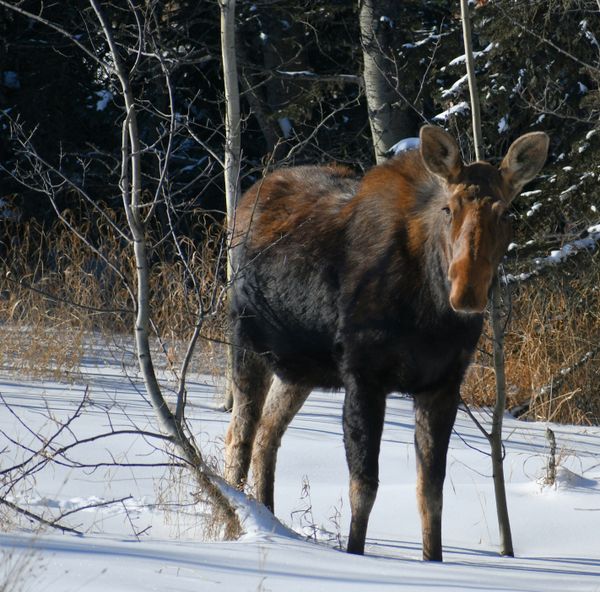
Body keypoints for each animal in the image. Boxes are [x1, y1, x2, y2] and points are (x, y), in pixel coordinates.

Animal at [224, 125, 548, 560]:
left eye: (506, 213)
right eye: (448, 208)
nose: (466, 293)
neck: (429, 315)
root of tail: (246, 200)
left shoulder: (442, 384)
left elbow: (430, 492)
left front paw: (434, 560)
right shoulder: (364, 374)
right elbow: (363, 486)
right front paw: (355, 553)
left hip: (300, 369)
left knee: (266, 436)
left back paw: (271, 519)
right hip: (246, 340)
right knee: (239, 436)